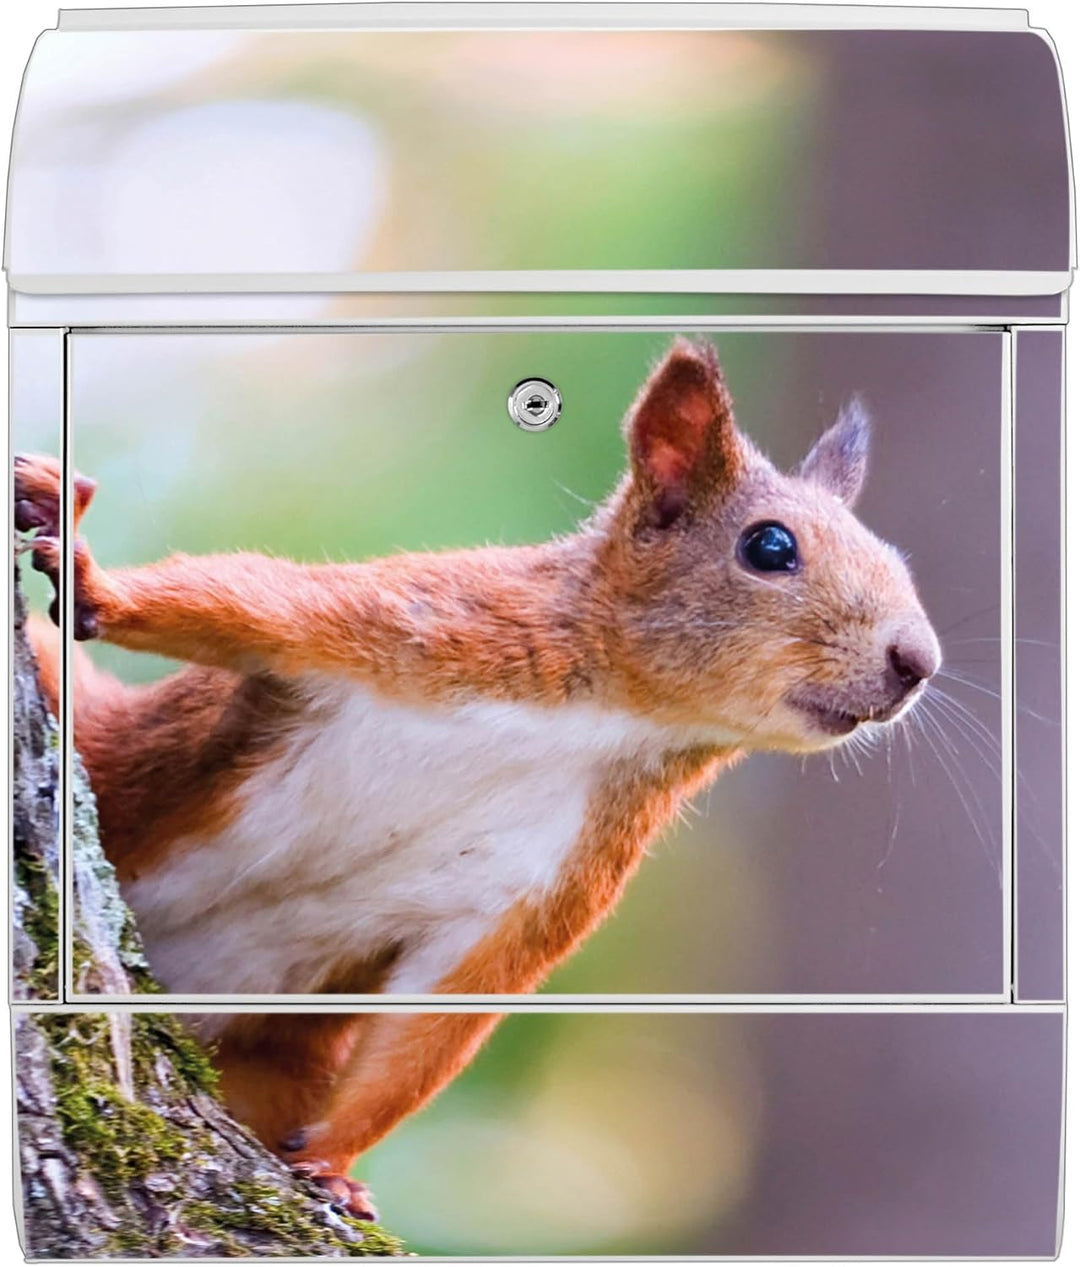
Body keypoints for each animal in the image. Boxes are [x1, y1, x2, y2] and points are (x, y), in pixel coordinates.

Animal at [15, 338, 940, 1217]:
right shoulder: (425, 621)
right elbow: (243, 601)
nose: (917, 662)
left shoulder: (553, 874)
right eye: (770, 546)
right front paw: (96, 584)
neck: (610, 716)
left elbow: (442, 1013)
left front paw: (333, 1165)